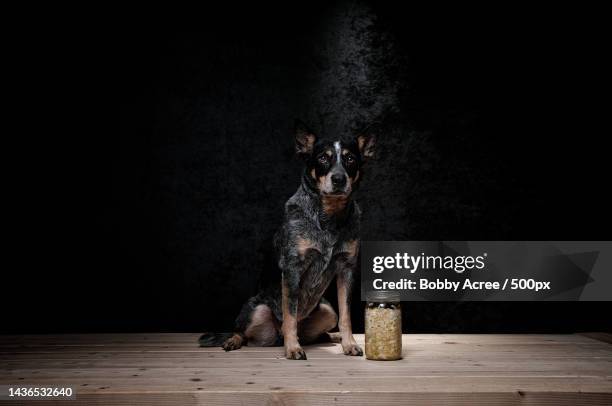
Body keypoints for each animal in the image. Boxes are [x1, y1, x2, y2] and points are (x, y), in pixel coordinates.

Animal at [198, 119, 376, 360]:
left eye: (350, 159)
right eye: (323, 158)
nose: (338, 178)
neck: (329, 218)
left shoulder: (346, 268)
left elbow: (346, 315)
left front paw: (349, 343)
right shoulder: (293, 268)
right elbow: (290, 314)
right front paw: (292, 348)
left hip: (327, 310)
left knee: (322, 332)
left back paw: (334, 337)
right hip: (257, 309)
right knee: (242, 331)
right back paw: (234, 341)